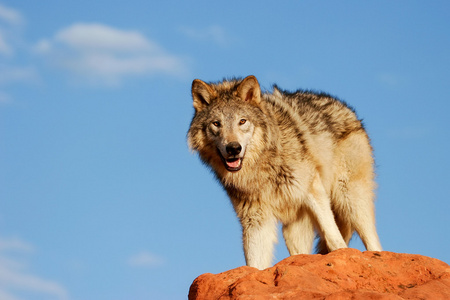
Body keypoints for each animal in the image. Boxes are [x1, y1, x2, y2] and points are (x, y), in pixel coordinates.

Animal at [188, 75, 382, 270]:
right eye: (216, 124)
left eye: (242, 121)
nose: (233, 148)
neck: (262, 167)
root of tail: (348, 111)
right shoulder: (255, 219)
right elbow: (254, 263)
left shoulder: (313, 190)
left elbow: (335, 239)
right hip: (294, 230)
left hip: (350, 200)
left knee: (374, 243)